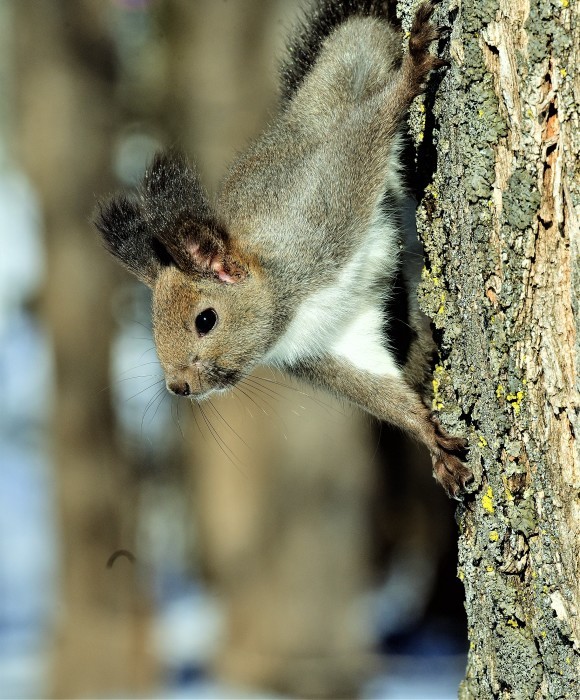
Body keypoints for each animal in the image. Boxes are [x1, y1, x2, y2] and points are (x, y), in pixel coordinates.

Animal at [94, 0, 472, 498]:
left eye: (205, 320)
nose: (178, 386)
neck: (289, 299)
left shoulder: (323, 206)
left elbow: (367, 134)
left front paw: (414, 72)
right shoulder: (332, 340)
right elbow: (377, 388)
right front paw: (431, 439)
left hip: (353, 68)